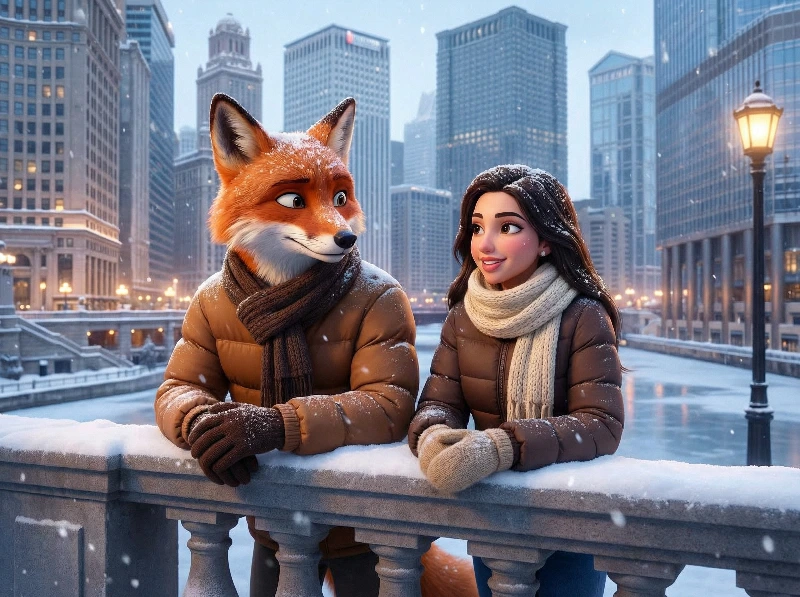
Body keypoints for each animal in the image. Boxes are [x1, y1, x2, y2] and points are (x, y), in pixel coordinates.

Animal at [154, 92, 478, 597]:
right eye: (292, 199)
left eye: (340, 198)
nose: (348, 238)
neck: (281, 292)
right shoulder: (199, 312)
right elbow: (180, 386)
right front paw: (210, 426)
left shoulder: (391, 305)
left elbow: (382, 402)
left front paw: (248, 428)